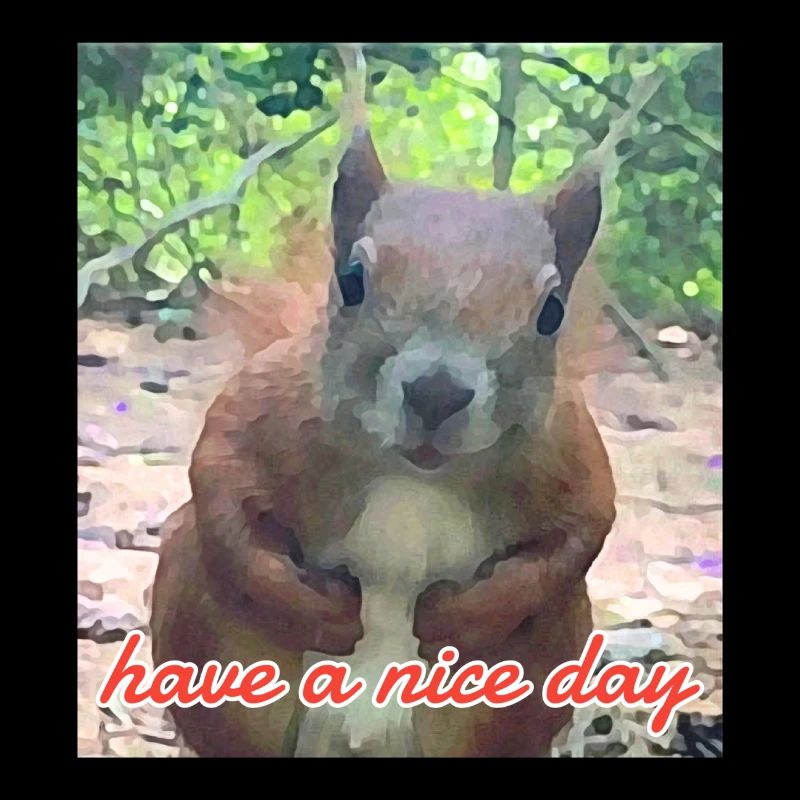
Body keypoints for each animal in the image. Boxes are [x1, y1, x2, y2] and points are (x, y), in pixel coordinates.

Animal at [150, 128, 617, 758]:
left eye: (552, 312)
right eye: (352, 281)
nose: (437, 394)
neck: (415, 475)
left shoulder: (569, 447)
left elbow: (584, 531)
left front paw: (458, 619)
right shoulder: (265, 403)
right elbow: (219, 489)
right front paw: (320, 611)